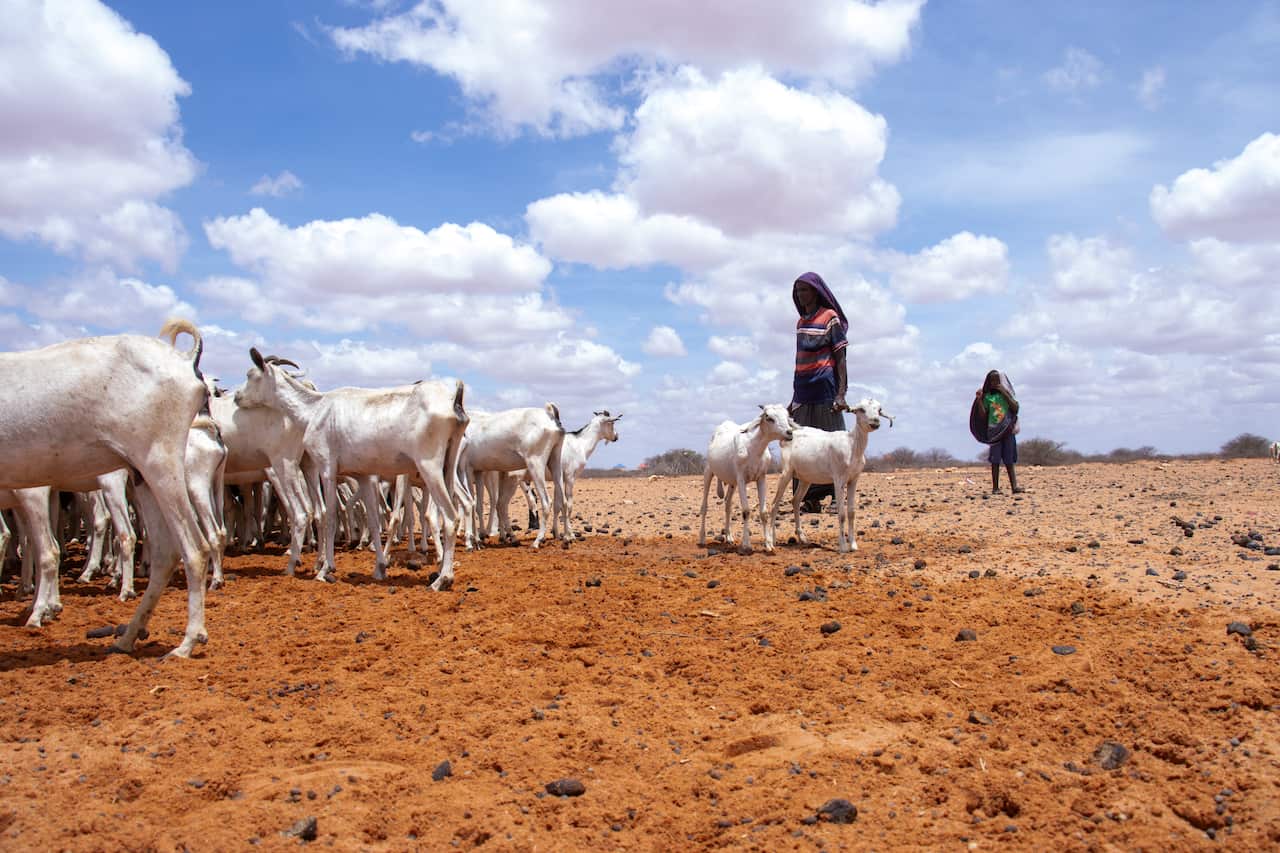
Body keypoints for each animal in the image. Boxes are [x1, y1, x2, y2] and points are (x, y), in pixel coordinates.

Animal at [0, 319, 212, 656]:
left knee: (194, 548)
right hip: (141, 474)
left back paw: (187, 641)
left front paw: (40, 611)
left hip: (159, 462)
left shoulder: (32, 491)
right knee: (165, 552)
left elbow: (45, 548)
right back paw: (127, 637)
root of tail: (184, 360)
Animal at [235, 348, 467, 589]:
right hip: (448, 464)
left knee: (450, 517)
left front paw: (325, 569)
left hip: (429, 466)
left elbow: (329, 516)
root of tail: (454, 398)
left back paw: (443, 579)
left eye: (251, 375)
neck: (316, 409)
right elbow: (374, 519)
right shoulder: (363, 475)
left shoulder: (327, 468)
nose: (237, 396)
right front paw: (379, 568)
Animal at [697, 404, 797, 554]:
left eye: (786, 416)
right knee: (704, 506)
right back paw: (702, 538)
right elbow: (746, 511)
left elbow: (763, 512)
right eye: (769, 417)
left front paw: (769, 545)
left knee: (727, 504)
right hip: (708, 472)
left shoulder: (761, 478)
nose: (789, 432)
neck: (753, 448)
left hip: (732, 483)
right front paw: (746, 545)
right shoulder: (741, 479)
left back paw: (729, 537)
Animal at [769, 398, 893, 553]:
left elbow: (851, 512)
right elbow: (841, 513)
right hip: (786, 472)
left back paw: (802, 537)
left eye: (878, 409)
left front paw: (853, 545)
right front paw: (843, 546)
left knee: (795, 500)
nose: (875, 422)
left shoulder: (854, 479)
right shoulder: (839, 479)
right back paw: (772, 539)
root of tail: (789, 433)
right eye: (861, 409)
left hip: (805, 479)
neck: (852, 445)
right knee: (774, 503)